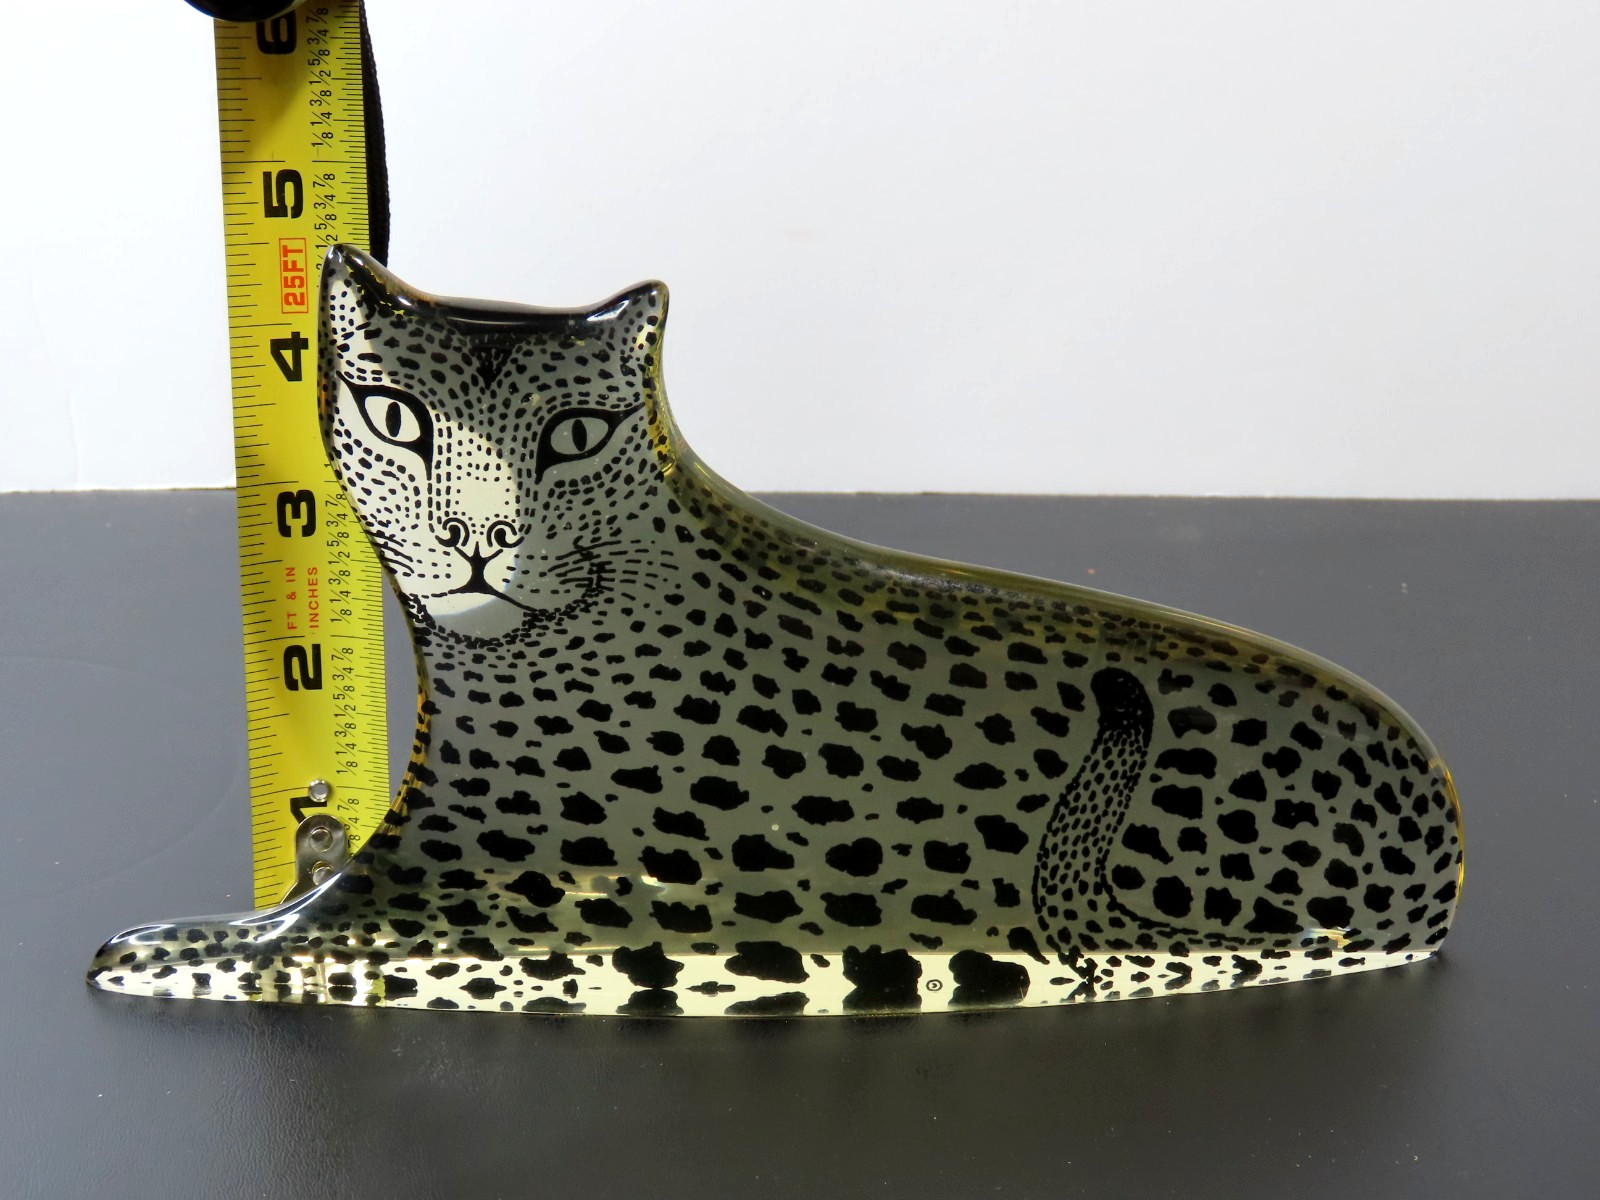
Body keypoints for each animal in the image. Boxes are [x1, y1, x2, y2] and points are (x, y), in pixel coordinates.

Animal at [87, 245, 1464, 1015]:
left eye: (573, 437)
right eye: (392, 418)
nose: (477, 537)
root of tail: (1438, 853)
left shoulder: (440, 897)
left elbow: (272, 943)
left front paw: (145, 950)